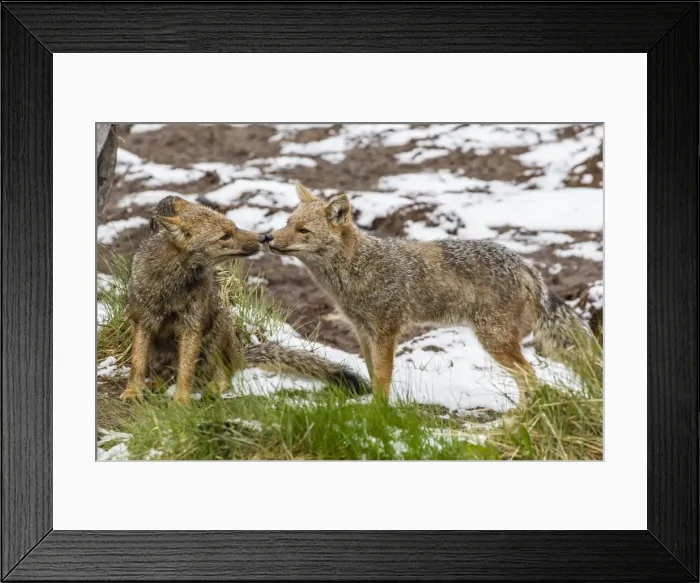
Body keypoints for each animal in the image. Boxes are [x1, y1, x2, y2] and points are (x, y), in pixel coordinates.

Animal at [119, 195, 369, 405]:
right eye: (225, 235)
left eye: (234, 226)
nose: (264, 237)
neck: (173, 285)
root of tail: (238, 354)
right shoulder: (143, 322)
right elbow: (137, 364)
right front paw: (133, 391)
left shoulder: (192, 325)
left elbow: (186, 372)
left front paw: (181, 401)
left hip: (219, 326)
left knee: (224, 375)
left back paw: (212, 388)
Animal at [264, 183, 593, 404]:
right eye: (287, 224)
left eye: (304, 231)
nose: (267, 238)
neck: (358, 268)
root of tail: (525, 265)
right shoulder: (363, 331)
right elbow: (372, 374)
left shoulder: (386, 332)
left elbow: (382, 378)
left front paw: (378, 414)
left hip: (495, 342)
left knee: (530, 376)